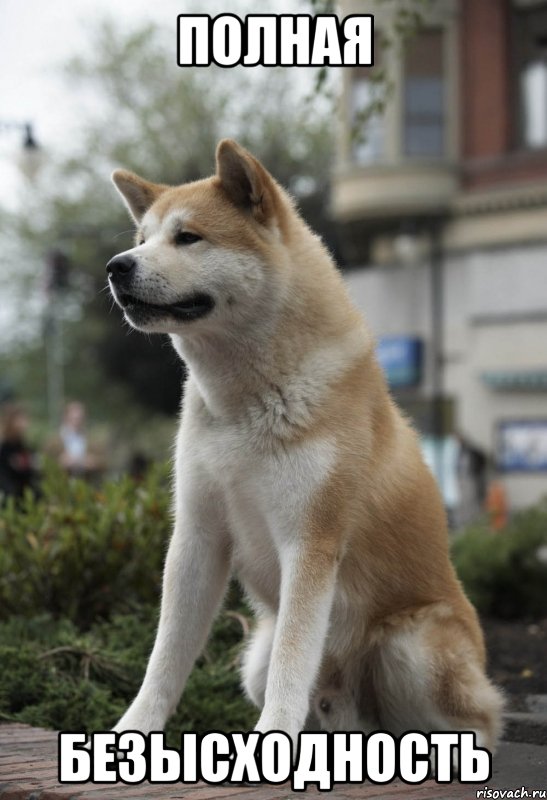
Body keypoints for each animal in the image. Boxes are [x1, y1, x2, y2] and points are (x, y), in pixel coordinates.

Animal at [107, 142, 506, 752]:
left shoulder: (310, 541)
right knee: (334, 710)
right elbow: (165, 659)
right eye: (142, 237)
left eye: (188, 237)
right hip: (257, 660)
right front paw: (132, 732)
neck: (244, 403)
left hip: (410, 648)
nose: (116, 265)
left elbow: (293, 665)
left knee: (472, 726)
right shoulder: (197, 535)